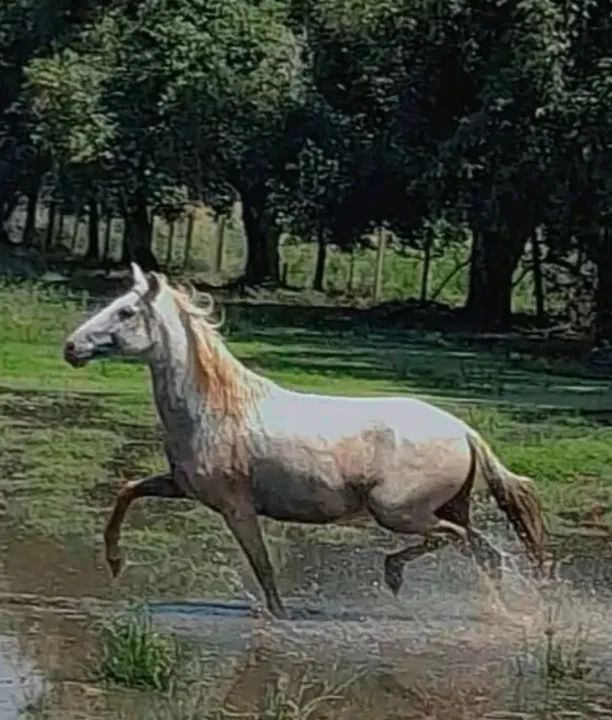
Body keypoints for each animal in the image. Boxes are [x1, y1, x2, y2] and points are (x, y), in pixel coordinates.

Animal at [64, 263, 546, 618]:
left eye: (126, 312)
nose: (71, 347)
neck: (213, 409)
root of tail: (464, 432)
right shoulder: (180, 486)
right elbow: (128, 492)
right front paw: (114, 562)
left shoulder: (236, 509)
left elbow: (263, 568)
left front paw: (280, 615)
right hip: (447, 507)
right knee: (485, 553)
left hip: (398, 512)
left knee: (457, 541)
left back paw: (396, 576)